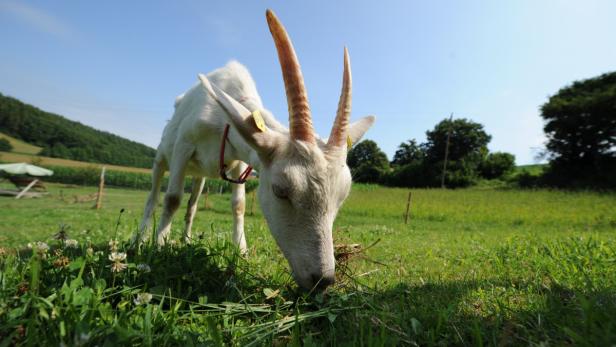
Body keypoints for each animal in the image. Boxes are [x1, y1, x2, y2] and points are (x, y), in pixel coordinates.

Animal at [135, 8, 376, 290]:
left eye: (342, 196)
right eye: (280, 191)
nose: (322, 280)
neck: (223, 117)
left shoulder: (240, 161)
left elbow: (238, 205)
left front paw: (240, 250)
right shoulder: (184, 146)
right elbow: (172, 198)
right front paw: (159, 245)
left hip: (200, 176)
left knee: (193, 204)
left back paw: (185, 240)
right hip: (163, 157)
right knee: (154, 194)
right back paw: (140, 239)